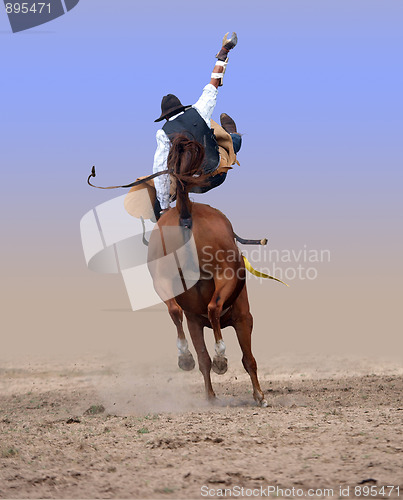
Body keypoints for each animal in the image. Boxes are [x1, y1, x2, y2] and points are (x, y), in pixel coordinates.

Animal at [148, 136, 268, 406]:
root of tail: (186, 209)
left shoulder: (194, 322)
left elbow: (203, 359)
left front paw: (210, 396)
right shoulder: (244, 319)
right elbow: (249, 359)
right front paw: (259, 396)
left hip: (161, 279)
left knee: (174, 310)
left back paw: (185, 357)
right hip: (224, 276)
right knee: (213, 307)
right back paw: (221, 357)